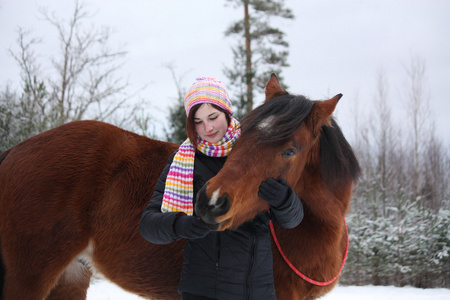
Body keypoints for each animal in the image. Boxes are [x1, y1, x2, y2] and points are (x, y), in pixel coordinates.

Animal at [0, 73, 358, 300]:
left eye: (289, 151)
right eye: (243, 135)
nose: (211, 202)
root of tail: (15, 151)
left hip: (70, 278)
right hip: (30, 277)